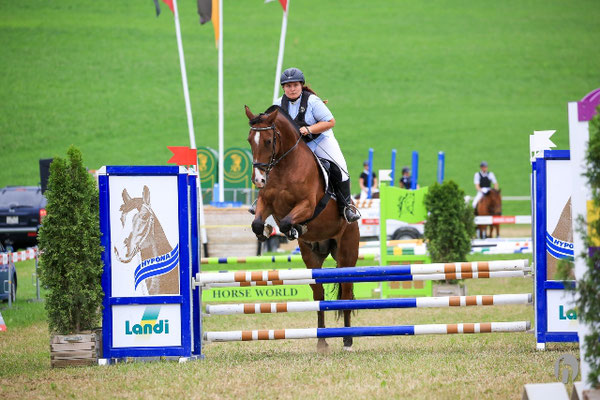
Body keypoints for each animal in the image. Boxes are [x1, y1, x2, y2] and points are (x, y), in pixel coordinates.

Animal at [245, 104, 358, 352]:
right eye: (249, 140)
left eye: (268, 140)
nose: (258, 180)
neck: (284, 166)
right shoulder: (266, 203)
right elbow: (257, 221)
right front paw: (265, 232)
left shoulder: (307, 205)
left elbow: (288, 220)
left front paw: (293, 229)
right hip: (312, 257)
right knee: (319, 296)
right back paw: (322, 341)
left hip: (347, 253)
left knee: (346, 292)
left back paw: (347, 340)